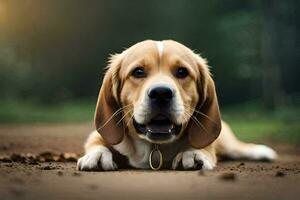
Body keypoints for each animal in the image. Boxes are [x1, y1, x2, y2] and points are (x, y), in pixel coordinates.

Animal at [77, 39, 276, 171]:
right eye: (138, 72)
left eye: (182, 72)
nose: (161, 93)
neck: (155, 148)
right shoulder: (97, 134)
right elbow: (97, 141)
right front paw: (97, 156)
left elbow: (203, 145)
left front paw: (192, 154)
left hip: (227, 141)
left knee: (238, 148)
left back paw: (262, 151)